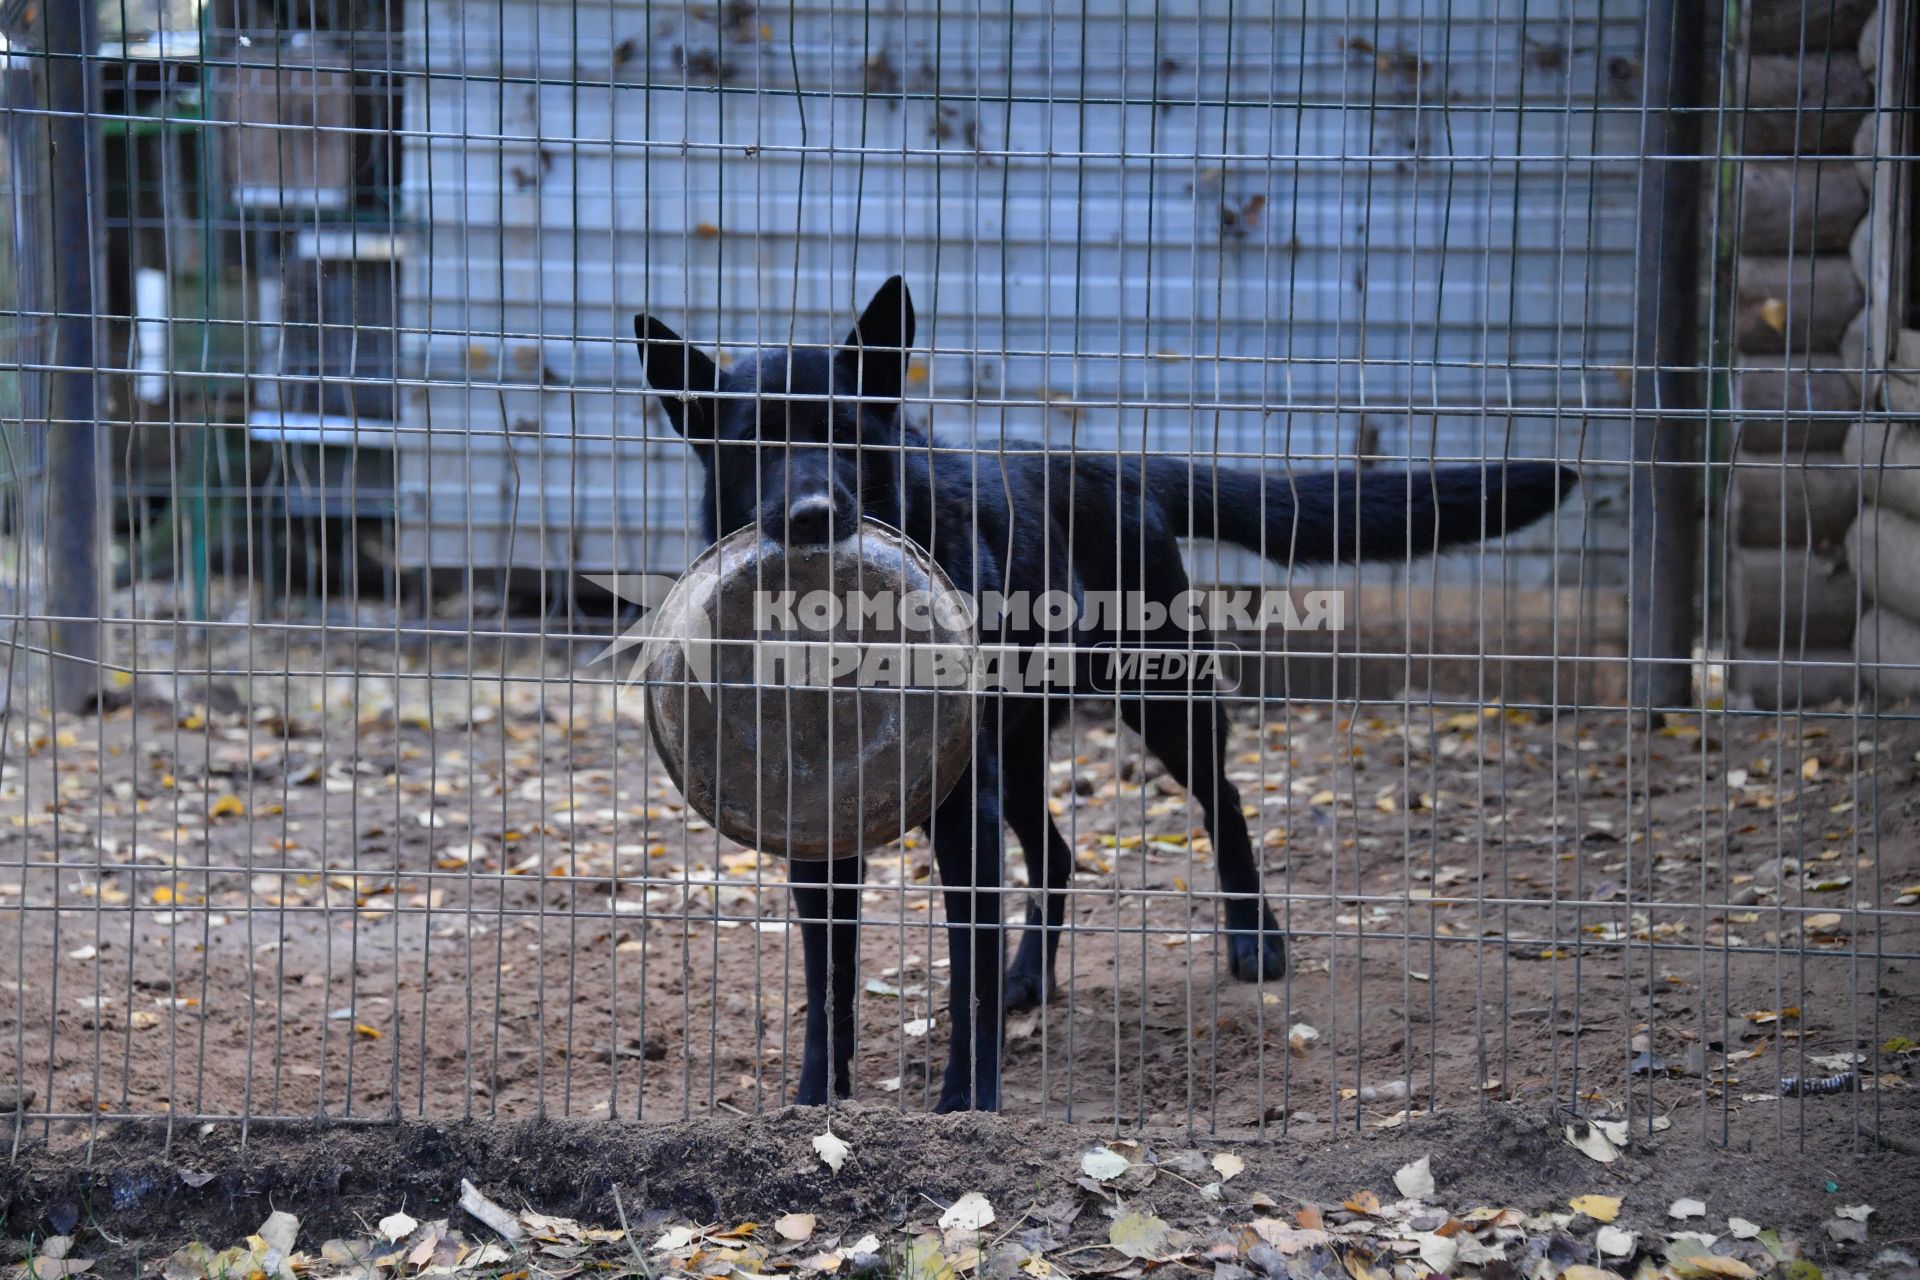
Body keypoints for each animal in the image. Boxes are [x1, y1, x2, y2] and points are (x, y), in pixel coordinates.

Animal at [633, 278, 1574, 1113]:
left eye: (844, 435)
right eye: (754, 445)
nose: (812, 516)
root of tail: (1109, 462)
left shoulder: (963, 810)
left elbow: (965, 967)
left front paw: (967, 1102)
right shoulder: (818, 826)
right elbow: (828, 983)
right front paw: (813, 1101)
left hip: (1158, 701)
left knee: (1224, 800)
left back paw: (1254, 940)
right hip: (1018, 753)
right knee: (1054, 855)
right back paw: (1029, 977)